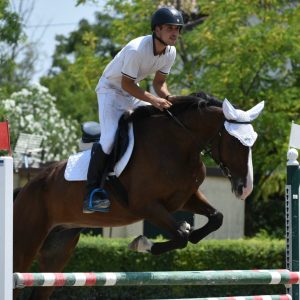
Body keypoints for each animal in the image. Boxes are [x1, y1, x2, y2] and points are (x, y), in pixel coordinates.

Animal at [12, 92, 264, 298]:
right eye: (236, 142)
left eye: (253, 141)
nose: (245, 188)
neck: (178, 145)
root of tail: (25, 188)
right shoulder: (147, 206)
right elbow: (180, 235)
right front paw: (142, 244)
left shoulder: (184, 199)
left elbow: (215, 218)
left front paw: (189, 233)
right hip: (24, 244)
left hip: (58, 251)